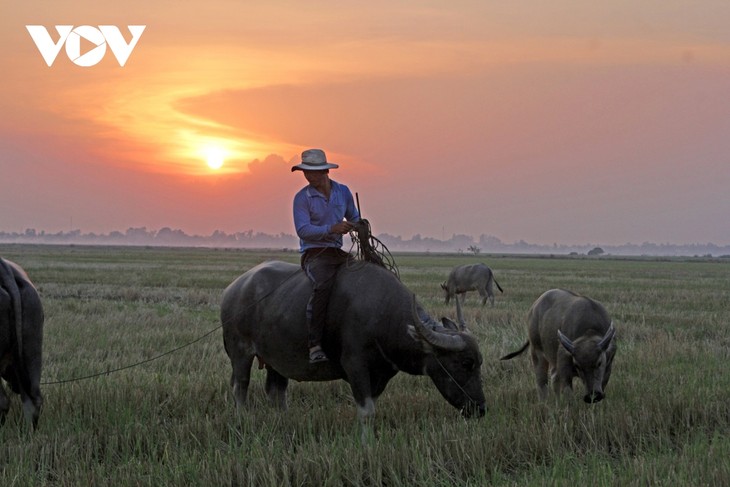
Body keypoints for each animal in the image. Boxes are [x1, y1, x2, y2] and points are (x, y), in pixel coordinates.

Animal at [222, 260, 484, 424]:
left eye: (479, 363)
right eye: (465, 363)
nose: (480, 409)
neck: (383, 314)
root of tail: (233, 289)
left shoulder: (380, 374)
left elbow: (370, 407)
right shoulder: (355, 365)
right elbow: (366, 411)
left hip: (276, 360)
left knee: (276, 392)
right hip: (240, 353)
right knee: (240, 387)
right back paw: (242, 420)